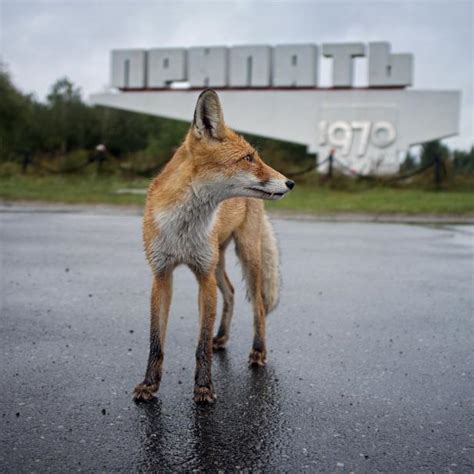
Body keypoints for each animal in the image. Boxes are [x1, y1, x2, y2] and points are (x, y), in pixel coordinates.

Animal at [133, 90, 294, 404]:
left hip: (246, 255)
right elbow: (156, 341)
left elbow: (201, 345)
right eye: (248, 158)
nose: (290, 182)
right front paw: (149, 385)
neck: (183, 228)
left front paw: (204, 388)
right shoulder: (161, 274)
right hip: (217, 261)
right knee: (230, 292)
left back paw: (258, 351)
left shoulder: (203, 277)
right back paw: (223, 336)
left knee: (257, 305)